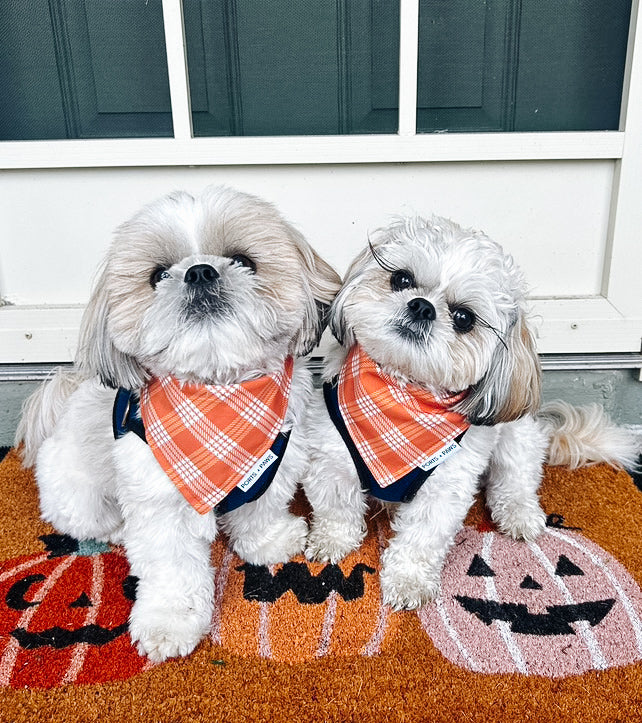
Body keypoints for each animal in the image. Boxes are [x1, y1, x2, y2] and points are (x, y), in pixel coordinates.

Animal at [15, 187, 340, 660]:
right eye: (157, 275)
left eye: (242, 260)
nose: (200, 271)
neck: (220, 405)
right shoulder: (162, 505)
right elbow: (173, 572)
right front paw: (169, 624)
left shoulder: (273, 465)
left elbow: (259, 513)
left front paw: (268, 543)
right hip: (80, 499)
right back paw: (116, 531)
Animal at [300, 215, 636, 612]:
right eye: (401, 279)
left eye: (464, 318)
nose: (421, 306)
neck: (400, 397)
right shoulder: (332, 459)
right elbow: (336, 510)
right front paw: (332, 542)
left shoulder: (444, 490)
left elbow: (420, 540)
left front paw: (408, 581)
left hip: (517, 439)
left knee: (516, 478)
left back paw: (519, 513)